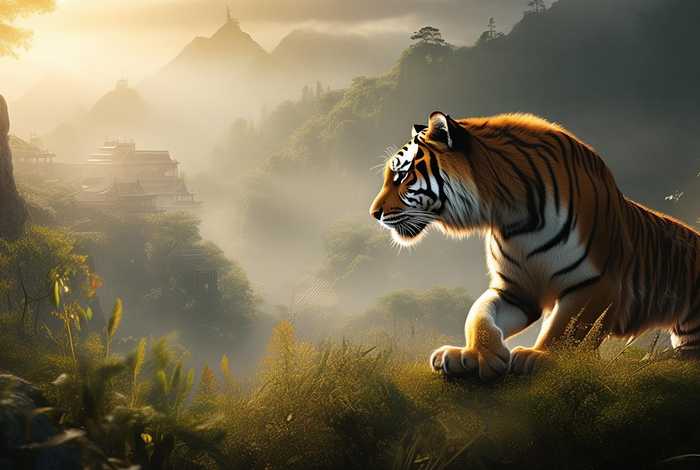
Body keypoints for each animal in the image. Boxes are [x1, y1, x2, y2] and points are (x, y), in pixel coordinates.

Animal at [369, 111, 700, 380]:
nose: (374, 214)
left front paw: (539, 356)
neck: (513, 217)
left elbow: (565, 327)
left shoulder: (598, 284)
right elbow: (479, 315)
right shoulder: (515, 290)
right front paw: (474, 355)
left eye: (401, 175)